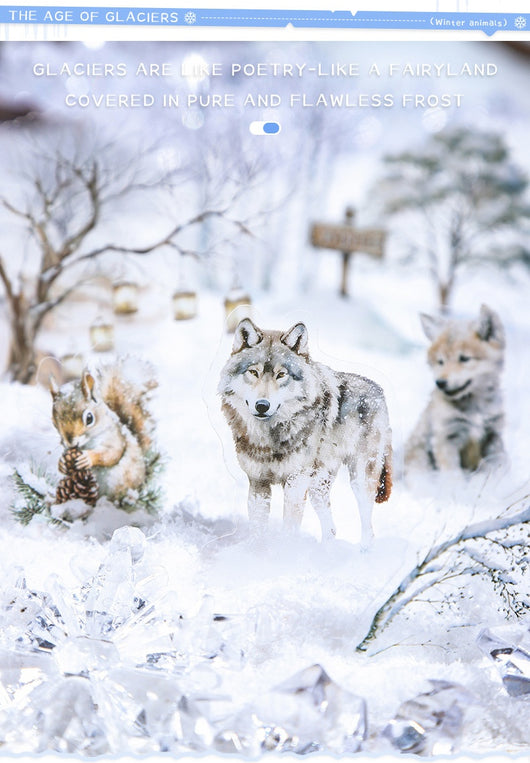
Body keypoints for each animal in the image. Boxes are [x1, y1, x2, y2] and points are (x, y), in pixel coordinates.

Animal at [218, 318, 392, 548]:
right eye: (254, 372)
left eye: (281, 375)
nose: (262, 406)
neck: (268, 439)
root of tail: (380, 391)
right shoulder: (258, 482)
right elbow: (258, 528)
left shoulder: (295, 483)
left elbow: (289, 529)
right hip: (318, 487)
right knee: (331, 528)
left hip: (360, 480)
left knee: (368, 528)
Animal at [405, 304, 505, 473]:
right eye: (440, 361)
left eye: (464, 359)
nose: (440, 382)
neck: (475, 409)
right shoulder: (446, 437)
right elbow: (453, 476)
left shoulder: (493, 433)